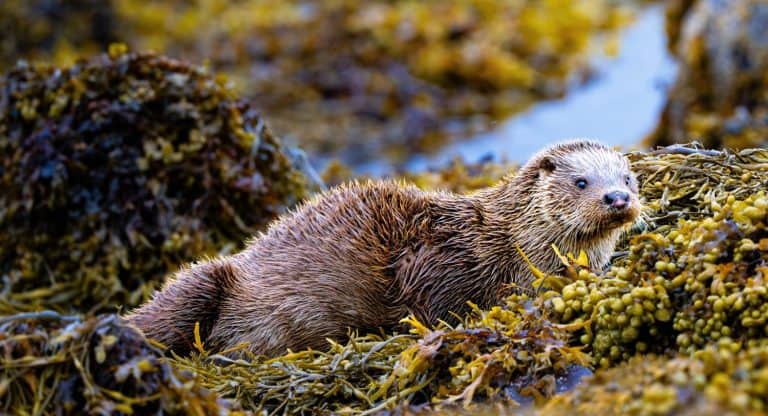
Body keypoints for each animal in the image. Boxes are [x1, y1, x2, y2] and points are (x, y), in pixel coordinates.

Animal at [126, 140, 641, 357]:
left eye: (628, 177)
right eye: (581, 182)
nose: (618, 197)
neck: (503, 245)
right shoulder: (438, 264)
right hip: (210, 279)